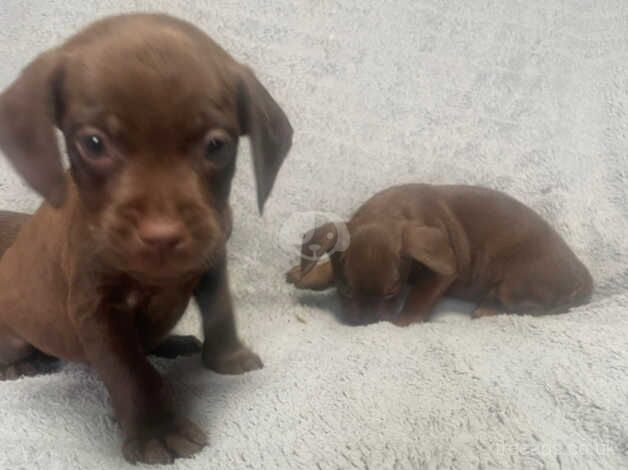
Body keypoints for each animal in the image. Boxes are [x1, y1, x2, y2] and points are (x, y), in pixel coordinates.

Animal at [0, 12, 294, 464]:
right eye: (94, 143)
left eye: (216, 145)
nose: (162, 235)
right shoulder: (97, 308)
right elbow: (130, 371)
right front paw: (157, 430)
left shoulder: (211, 260)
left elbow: (221, 311)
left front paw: (226, 356)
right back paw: (16, 366)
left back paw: (169, 342)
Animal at [288, 184, 592, 326]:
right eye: (345, 291)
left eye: (391, 293)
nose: (366, 323)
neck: (391, 210)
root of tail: (584, 277)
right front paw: (307, 273)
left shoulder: (442, 272)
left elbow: (419, 296)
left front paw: (403, 322)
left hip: (513, 285)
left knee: (525, 306)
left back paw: (488, 306)